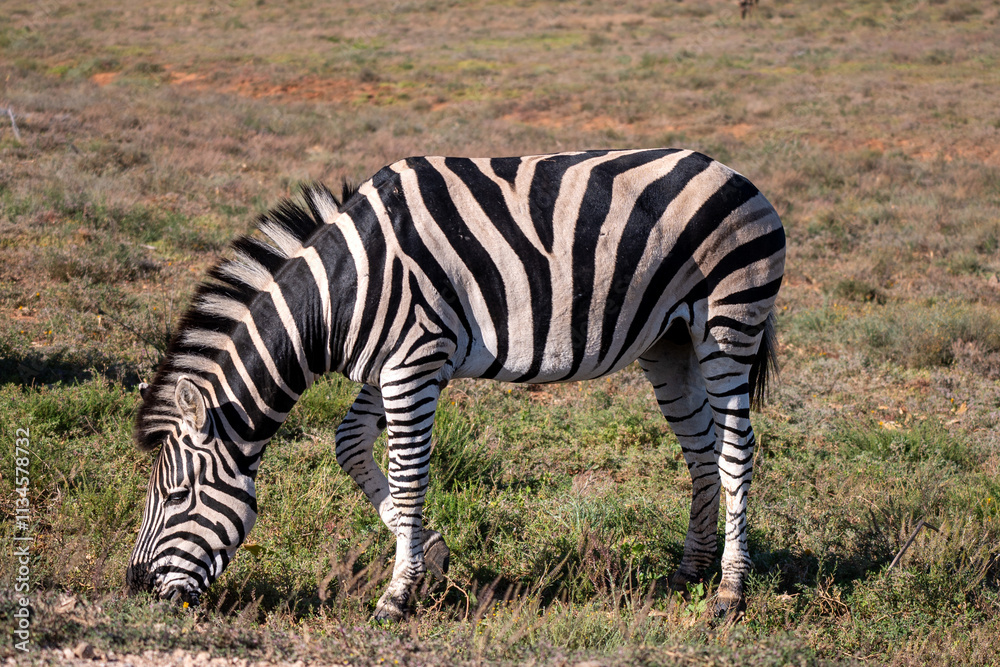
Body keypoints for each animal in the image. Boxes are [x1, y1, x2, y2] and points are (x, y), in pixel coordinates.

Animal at [125, 148, 785, 621]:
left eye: (176, 496)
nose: (133, 588)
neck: (342, 292)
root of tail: (733, 172)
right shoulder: (391, 366)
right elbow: (349, 446)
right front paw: (432, 557)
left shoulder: (415, 363)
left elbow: (409, 476)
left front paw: (398, 595)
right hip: (669, 343)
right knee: (700, 451)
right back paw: (692, 570)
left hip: (728, 321)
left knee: (735, 451)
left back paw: (729, 593)